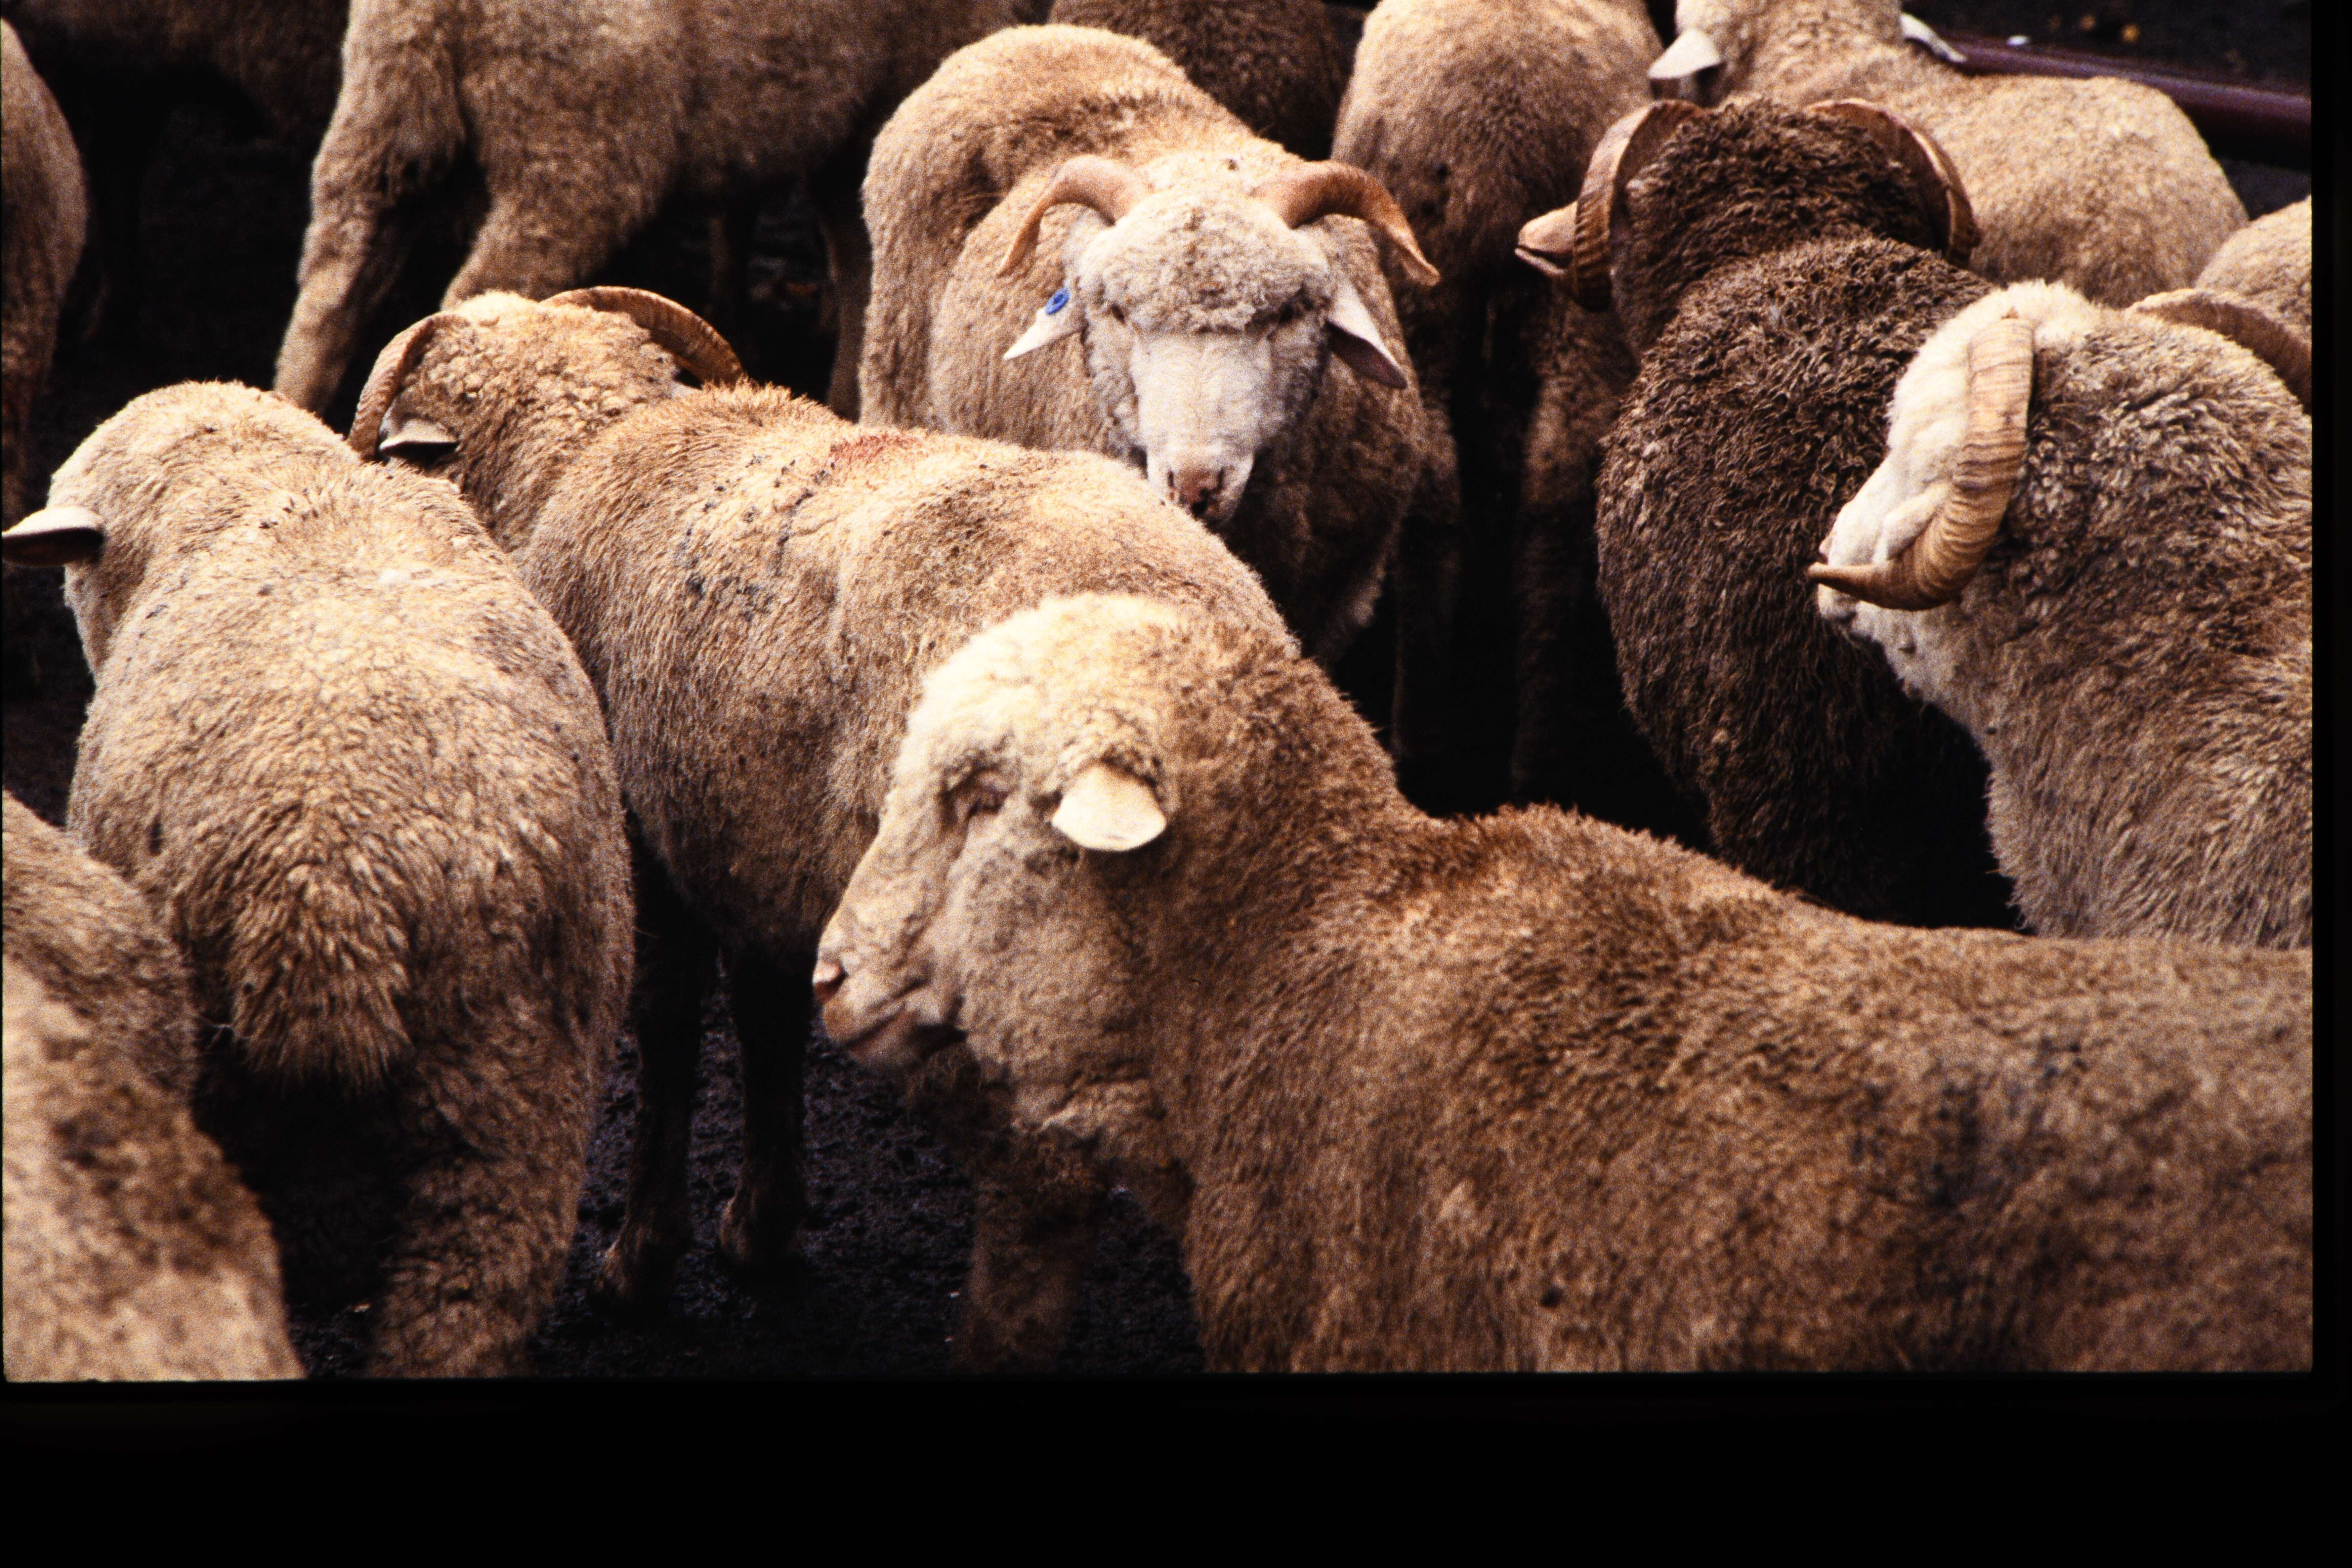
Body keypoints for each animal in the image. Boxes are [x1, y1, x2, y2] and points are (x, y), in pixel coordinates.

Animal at [271, 0, 1030, 423]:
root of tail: (438, 14)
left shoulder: (850, 125)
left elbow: (856, 261)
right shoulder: (895, 88)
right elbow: (867, 269)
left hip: (383, 117)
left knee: (329, 296)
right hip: (574, 151)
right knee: (479, 291)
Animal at [343, 286, 1294, 1369]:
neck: (588, 453)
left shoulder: (650, 847)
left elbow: (668, 1036)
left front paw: (639, 1263)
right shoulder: (751, 844)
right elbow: (767, 1022)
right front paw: (762, 1227)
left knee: (1042, 1183)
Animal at [1330, 0, 1674, 817]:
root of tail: (1491, 155)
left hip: (1436, 291)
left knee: (1452, 493)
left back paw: (1441, 748)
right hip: (1560, 301)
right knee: (1546, 492)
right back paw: (1519, 757)